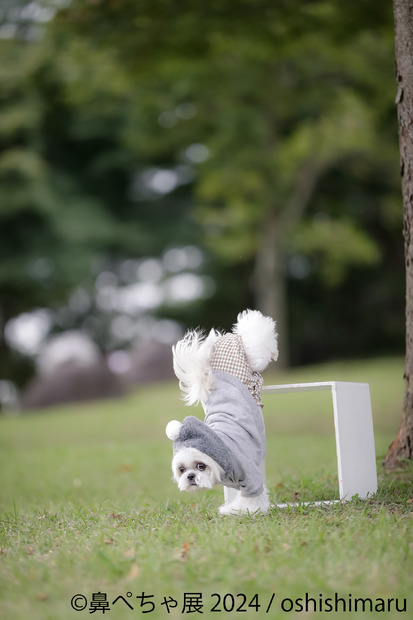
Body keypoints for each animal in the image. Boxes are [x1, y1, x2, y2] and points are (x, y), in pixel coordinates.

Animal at [164, 308, 276, 516]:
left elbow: (252, 497)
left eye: (201, 466)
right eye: (182, 469)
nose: (191, 476)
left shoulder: (251, 477)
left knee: (256, 335)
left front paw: (245, 510)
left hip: (252, 353)